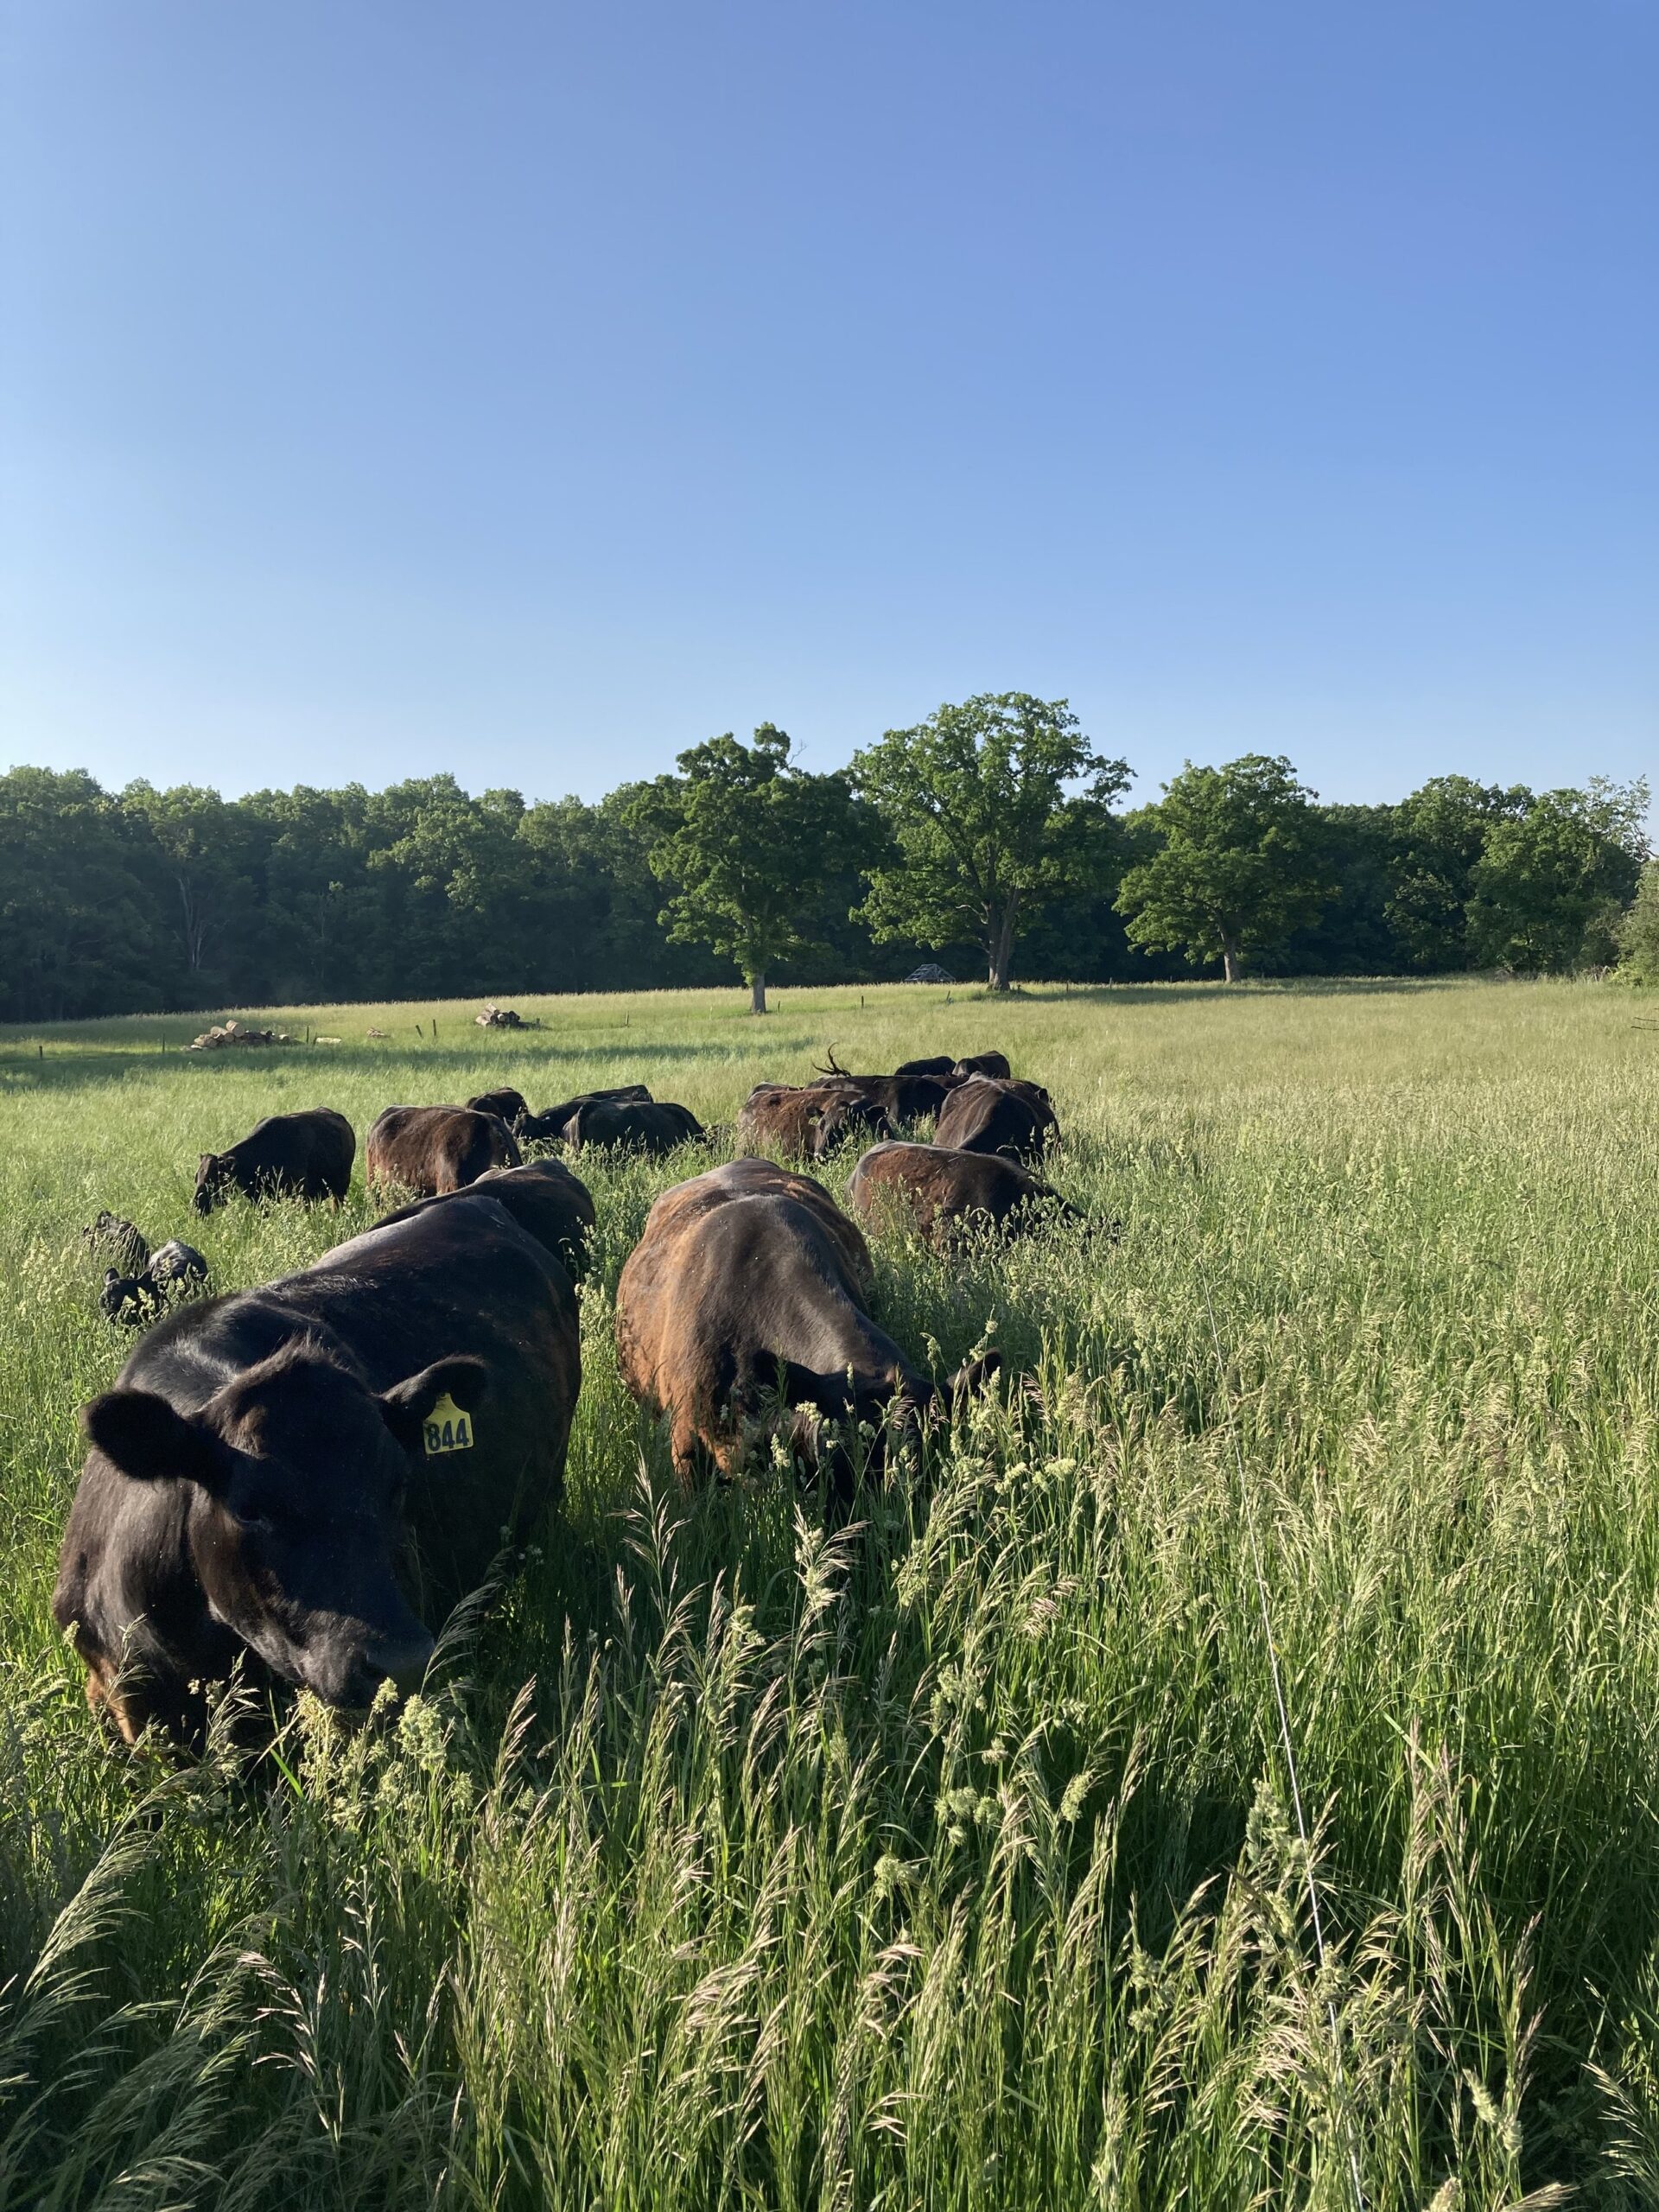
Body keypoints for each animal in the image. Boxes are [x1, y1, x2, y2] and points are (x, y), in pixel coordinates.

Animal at [194, 1108, 356, 1214]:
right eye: (196, 1178)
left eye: (212, 1180)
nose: (197, 1205)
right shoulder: (258, 1199)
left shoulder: (301, 1195)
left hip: (341, 1187)